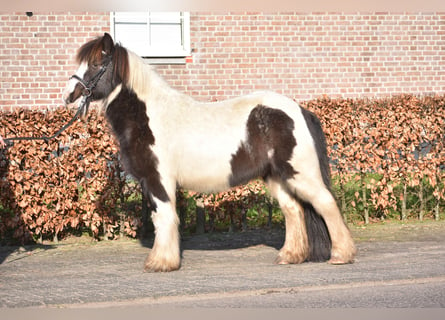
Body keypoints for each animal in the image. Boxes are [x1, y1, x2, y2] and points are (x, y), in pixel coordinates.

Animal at [62, 33, 356, 272]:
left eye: (96, 64)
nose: (69, 94)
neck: (149, 116)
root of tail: (299, 110)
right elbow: (161, 217)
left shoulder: (158, 179)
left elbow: (164, 216)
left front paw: (161, 263)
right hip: (277, 177)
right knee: (293, 210)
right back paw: (290, 256)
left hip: (300, 174)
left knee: (326, 203)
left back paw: (341, 255)